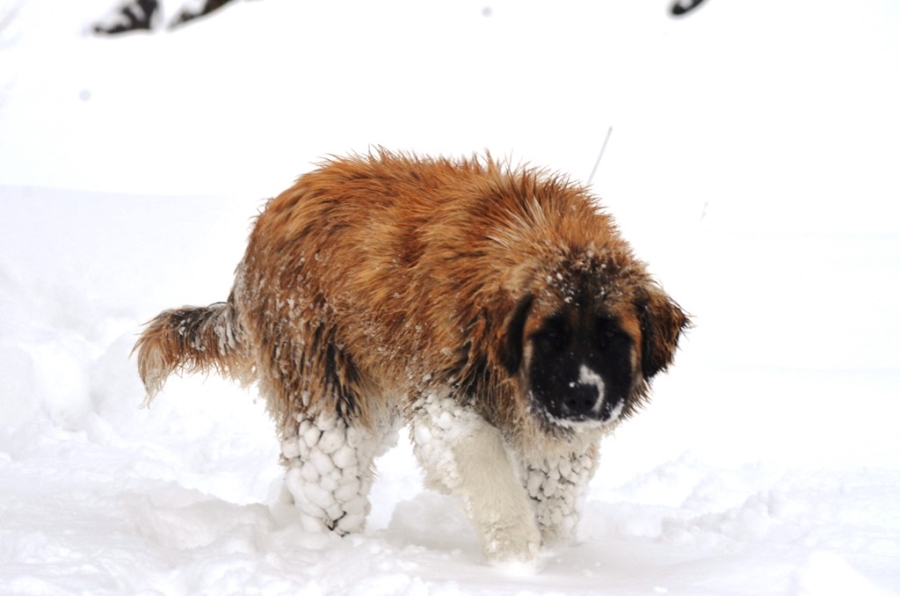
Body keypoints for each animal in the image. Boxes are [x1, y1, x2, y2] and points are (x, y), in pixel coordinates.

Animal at [134, 149, 684, 564]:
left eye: (611, 337)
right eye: (549, 336)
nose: (581, 396)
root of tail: (272, 212)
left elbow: (552, 489)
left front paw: (553, 559)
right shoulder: (445, 395)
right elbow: (486, 462)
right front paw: (518, 558)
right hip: (321, 379)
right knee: (330, 469)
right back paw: (329, 550)